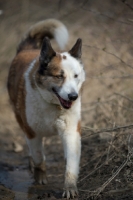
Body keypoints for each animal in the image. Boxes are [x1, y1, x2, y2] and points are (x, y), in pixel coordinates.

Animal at [7, 18, 85, 198]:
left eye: (75, 76)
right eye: (59, 76)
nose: (73, 96)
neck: (53, 104)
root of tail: (27, 49)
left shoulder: (71, 132)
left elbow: (71, 165)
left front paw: (70, 187)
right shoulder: (32, 133)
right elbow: (38, 157)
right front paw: (40, 177)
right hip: (20, 119)